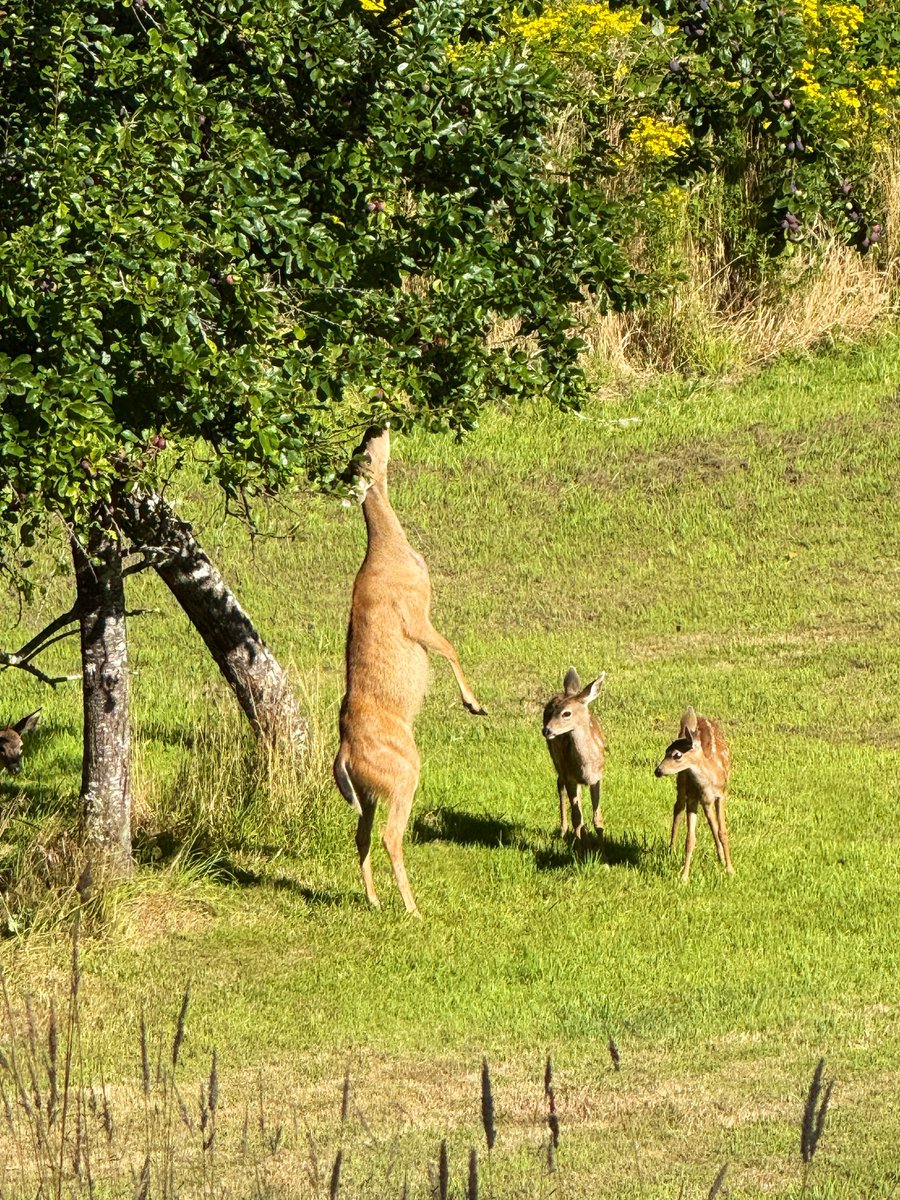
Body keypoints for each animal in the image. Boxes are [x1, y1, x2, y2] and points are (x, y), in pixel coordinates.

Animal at [333, 427, 487, 917]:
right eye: (364, 455)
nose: (374, 426)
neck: (390, 552)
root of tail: (344, 752)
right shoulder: (415, 613)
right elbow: (450, 647)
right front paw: (474, 703)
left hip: (366, 791)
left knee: (361, 833)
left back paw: (375, 900)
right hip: (402, 775)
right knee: (388, 836)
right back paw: (412, 909)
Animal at [541, 668, 606, 842]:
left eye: (566, 713)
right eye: (552, 711)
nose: (546, 730)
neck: (586, 766)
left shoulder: (597, 777)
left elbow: (597, 818)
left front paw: (601, 845)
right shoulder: (570, 776)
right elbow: (577, 817)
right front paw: (580, 846)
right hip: (557, 761)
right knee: (560, 785)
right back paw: (564, 830)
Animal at [654, 707, 733, 883]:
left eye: (677, 755)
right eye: (665, 751)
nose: (658, 771)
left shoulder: (721, 794)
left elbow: (722, 831)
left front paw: (730, 870)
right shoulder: (693, 798)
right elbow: (690, 839)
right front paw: (684, 877)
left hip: (706, 799)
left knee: (712, 821)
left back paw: (721, 857)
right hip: (682, 783)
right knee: (677, 808)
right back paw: (671, 849)